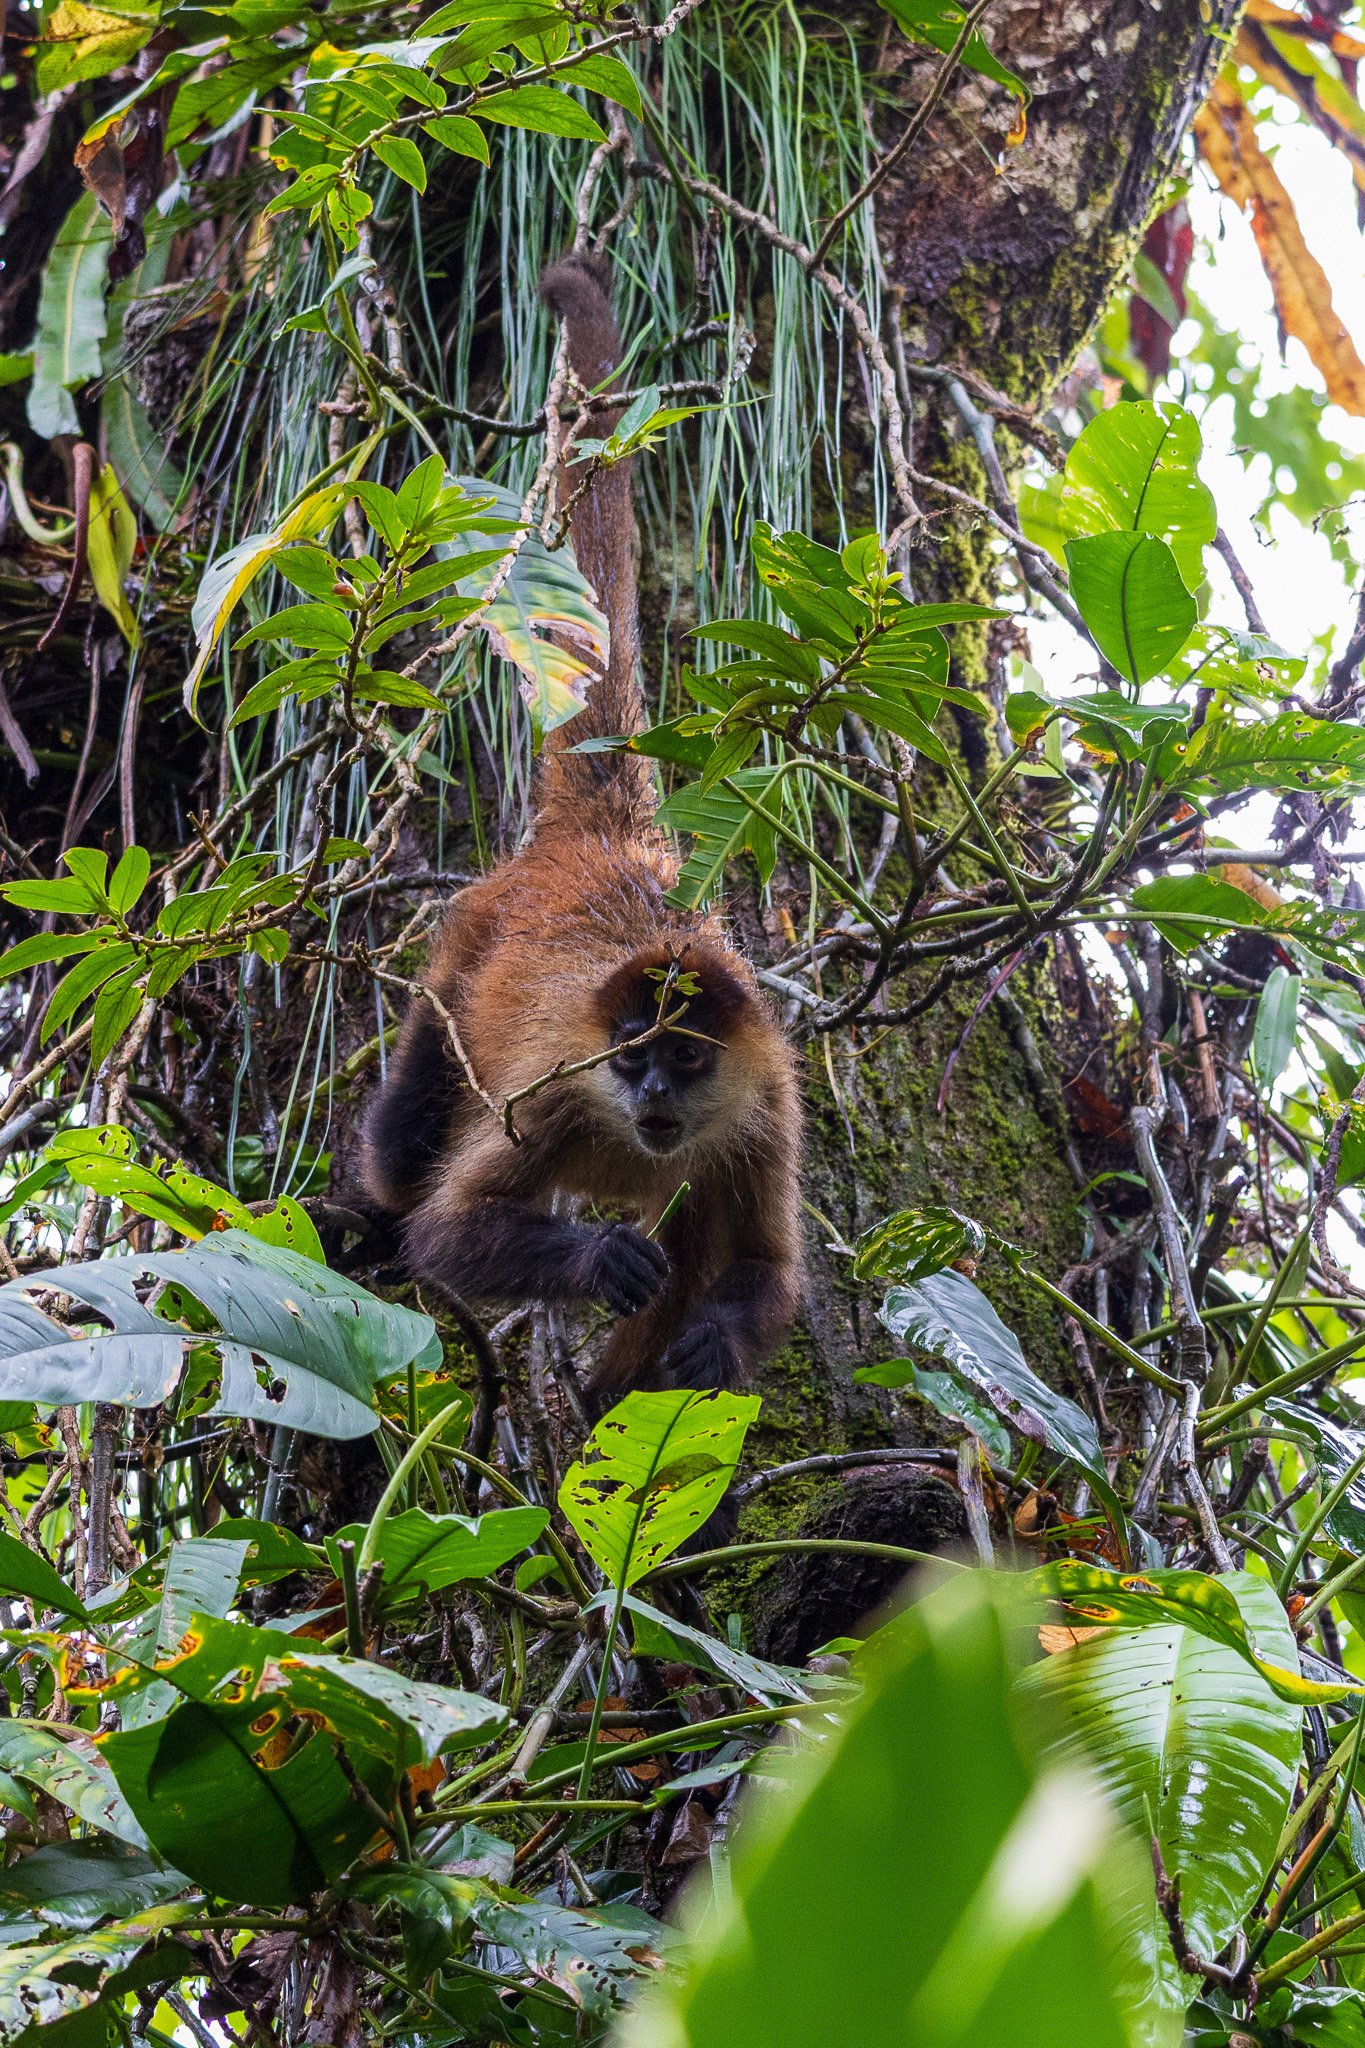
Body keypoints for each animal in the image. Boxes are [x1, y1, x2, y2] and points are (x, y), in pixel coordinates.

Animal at [368, 251, 806, 1409]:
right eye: (630, 1053)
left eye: (683, 1059)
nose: (650, 1091)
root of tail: (605, 844)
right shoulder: (560, 1094)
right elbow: (444, 1230)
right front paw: (599, 1260)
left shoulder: (766, 1105)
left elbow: (766, 1269)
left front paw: (712, 1347)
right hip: (474, 928)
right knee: (410, 1124)